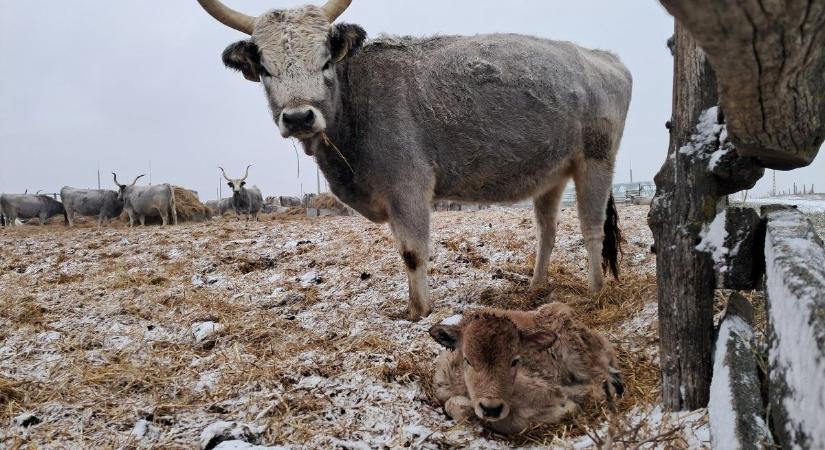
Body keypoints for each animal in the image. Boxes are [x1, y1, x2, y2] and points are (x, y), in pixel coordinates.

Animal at [198, 1, 632, 322]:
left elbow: (412, 251)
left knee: (592, 228)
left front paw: (419, 311)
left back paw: (595, 290)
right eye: (265, 68)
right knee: (547, 230)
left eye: (324, 61)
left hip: (596, 160)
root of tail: (604, 58)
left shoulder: (408, 187)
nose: (299, 117)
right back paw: (536, 286)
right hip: (551, 173)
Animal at [428, 302, 620, 432]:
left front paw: (568, 407)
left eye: (515, 361)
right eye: (467, 359)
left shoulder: (544, 386)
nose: (491, 409)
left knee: (604, 380)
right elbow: (452, 404)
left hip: (580, 358)